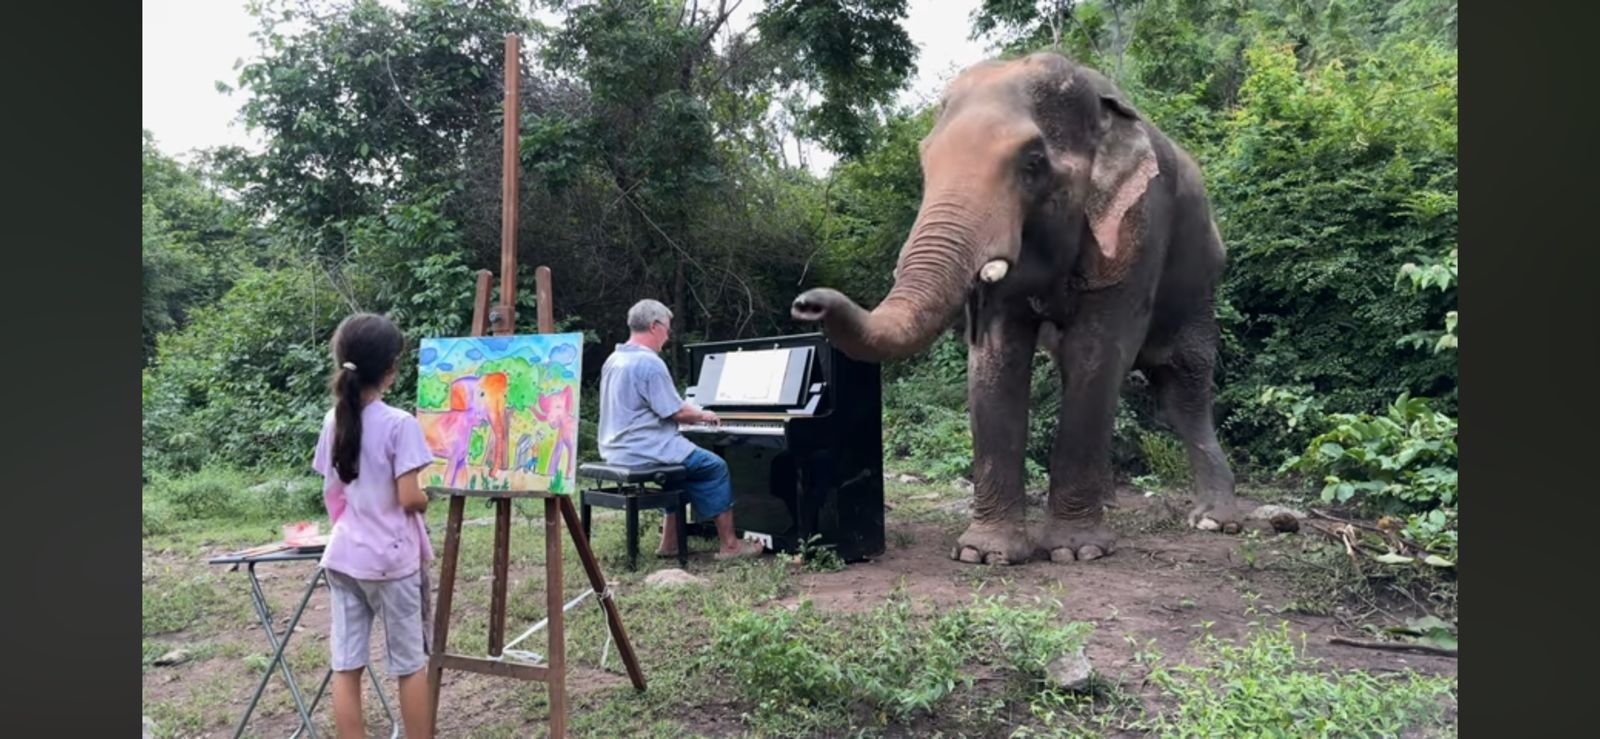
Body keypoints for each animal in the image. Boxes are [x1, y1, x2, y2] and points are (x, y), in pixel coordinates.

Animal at [793, 53, 1241, 566]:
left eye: (1033, 163)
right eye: (925, 162)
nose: (806, 304)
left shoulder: (1140, 224)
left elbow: (1097, 353)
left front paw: (1075, 552)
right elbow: (998, 356)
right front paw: (985, 554)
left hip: (1202, 276)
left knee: (1182, 379)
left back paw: (1214, 521)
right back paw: (1111, 502)